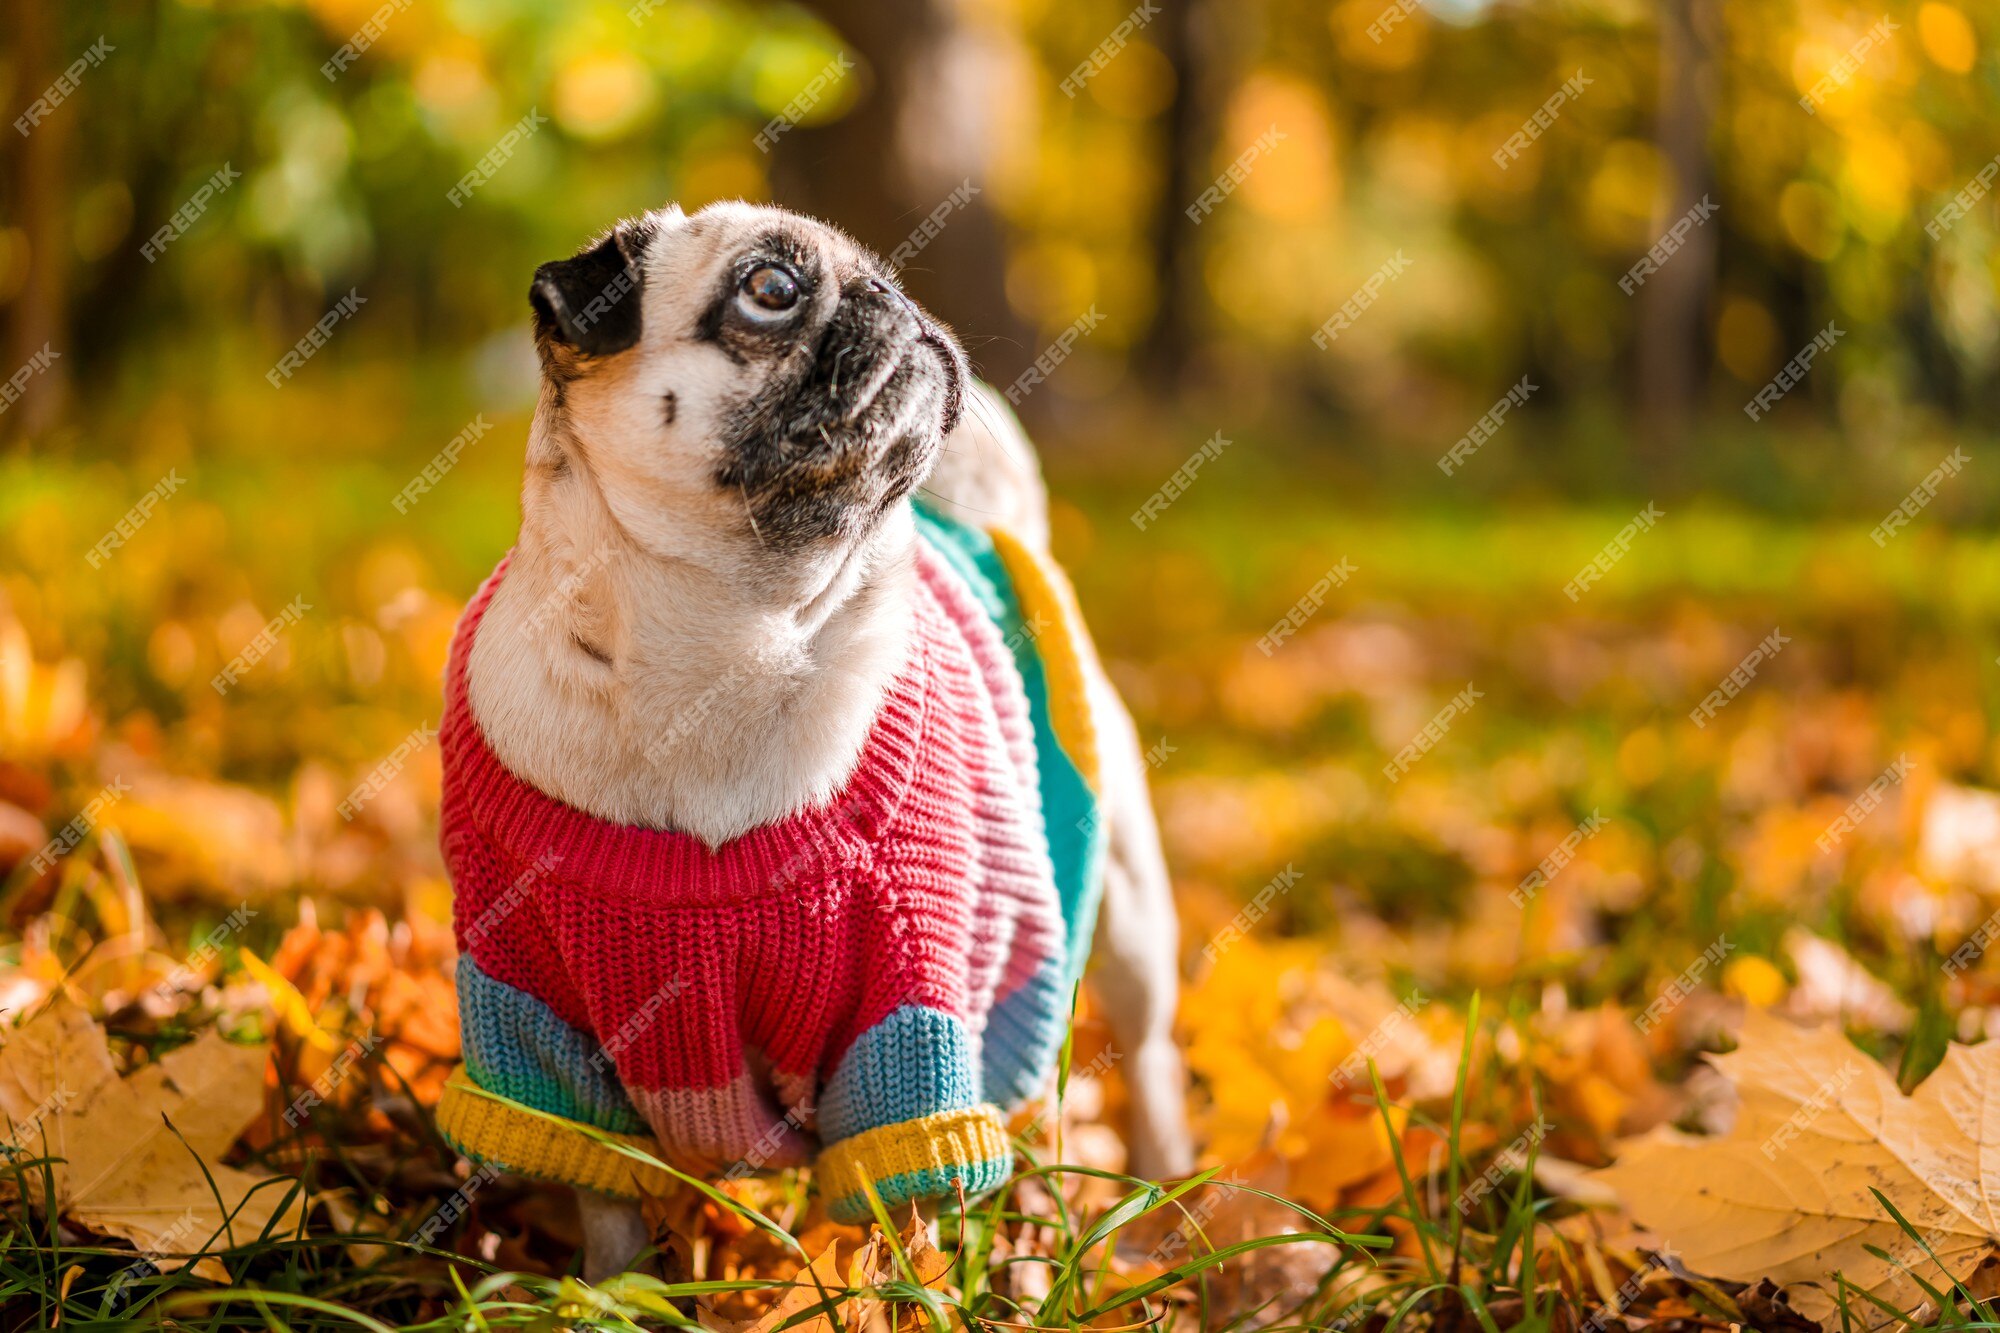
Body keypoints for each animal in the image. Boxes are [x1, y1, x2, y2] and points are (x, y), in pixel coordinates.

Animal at [450, 202, 1184, 1272]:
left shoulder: (905, 1012)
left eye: (886, 276)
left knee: (1151, 1054)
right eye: (773, 289)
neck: (729, 645)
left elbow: (901, 1216)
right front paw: (612, 1290)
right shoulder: (530, 1015)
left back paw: (1158, 1207)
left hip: (1126, 910)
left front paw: (898, 1289)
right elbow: (604, 1197)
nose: (896, 299)